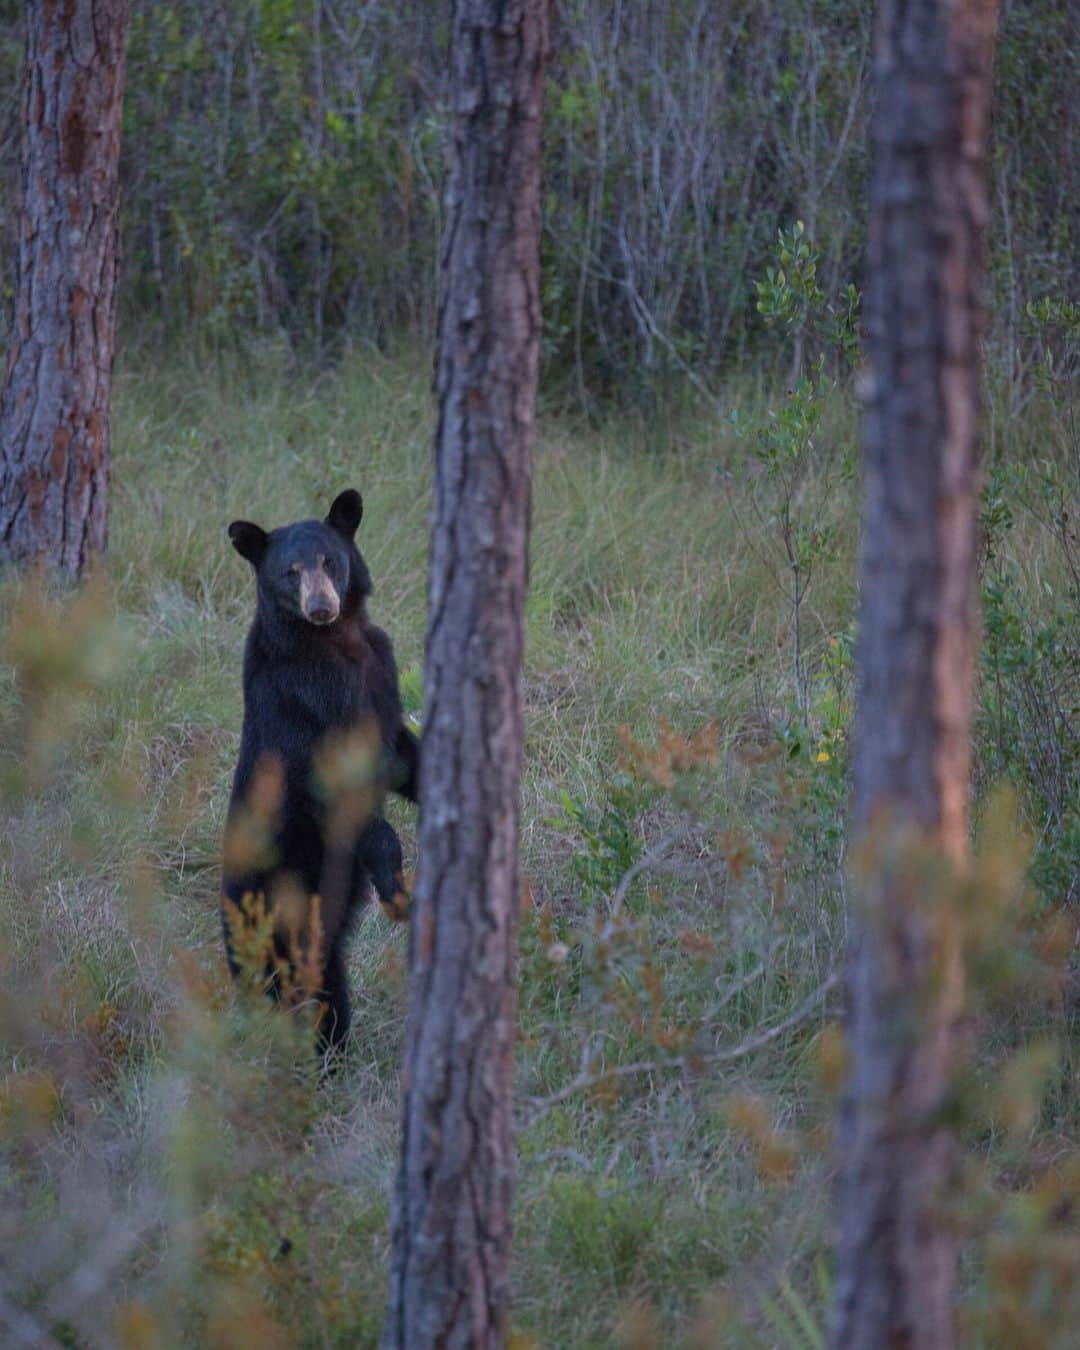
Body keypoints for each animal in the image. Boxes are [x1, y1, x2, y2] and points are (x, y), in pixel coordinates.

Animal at [222, 491, 418, 1047]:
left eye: (329, 561)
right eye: (290, 572)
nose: (321, 607)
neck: (336, 642)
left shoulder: (380, 669)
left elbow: (399, 752)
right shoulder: (305, 700)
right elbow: (334, 787)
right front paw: (396, 889)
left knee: (328, 985)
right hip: (268, 907)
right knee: (273, 991)